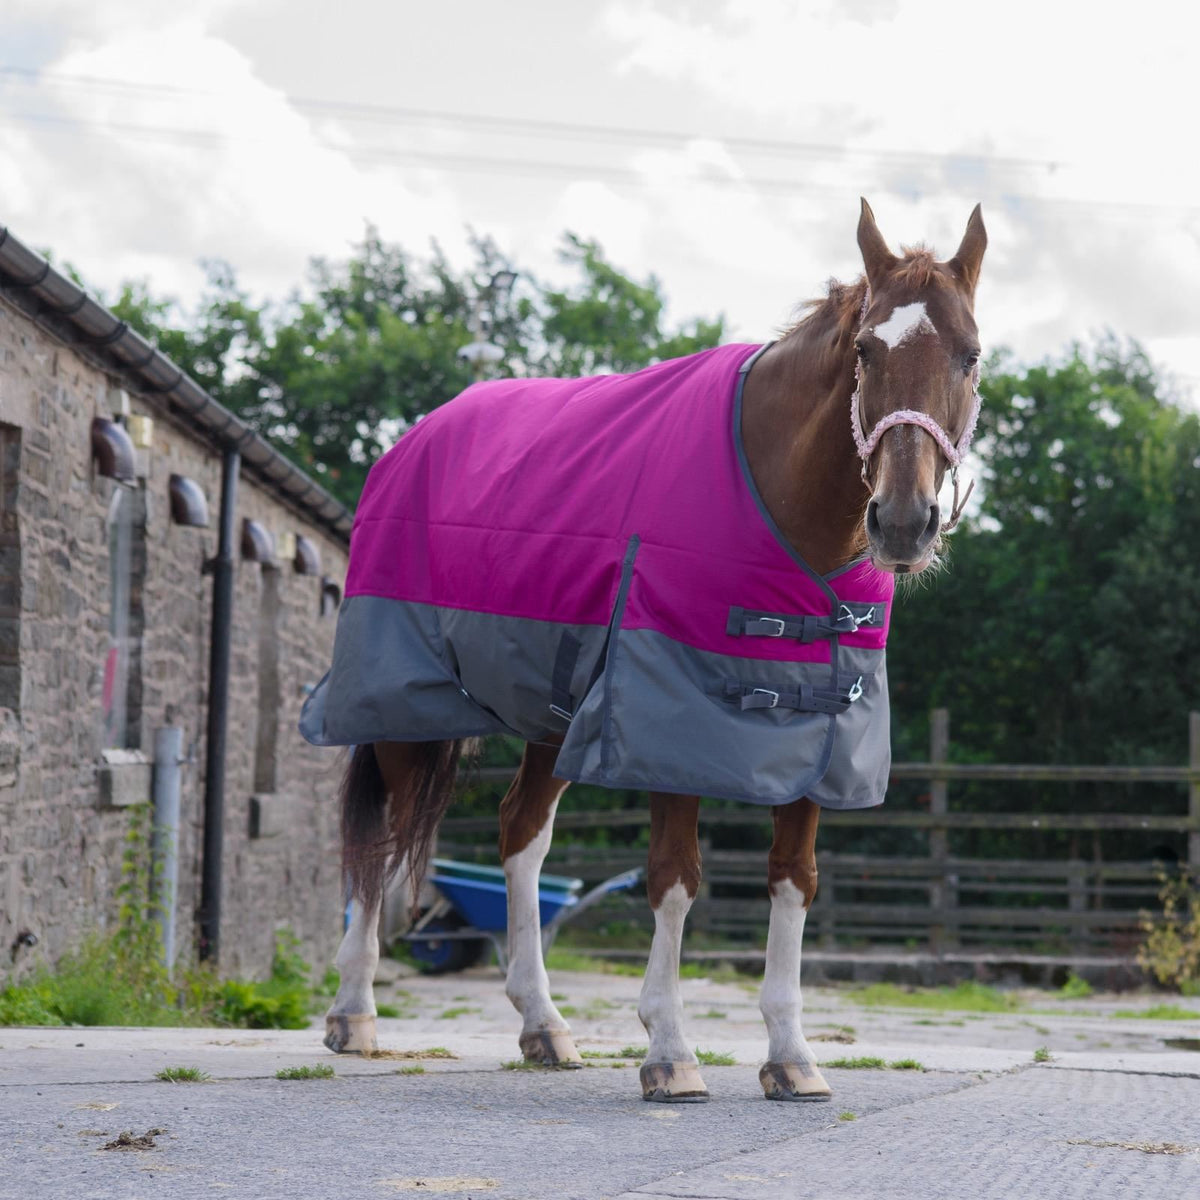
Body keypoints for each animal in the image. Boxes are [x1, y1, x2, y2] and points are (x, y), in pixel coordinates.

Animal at [303, 199, 987, 1103]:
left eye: (971, 355)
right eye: (868, 351)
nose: (904, 523)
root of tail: (415, 440)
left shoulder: (821, 731)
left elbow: (792, 880)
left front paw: (791, 1055)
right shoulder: (666, 719)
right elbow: (673, 876)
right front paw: (669, 1049)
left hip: (554, 714)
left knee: (520, 834)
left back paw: (543, 1023)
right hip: (399, 699)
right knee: (381, 837)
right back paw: (354, 1012)